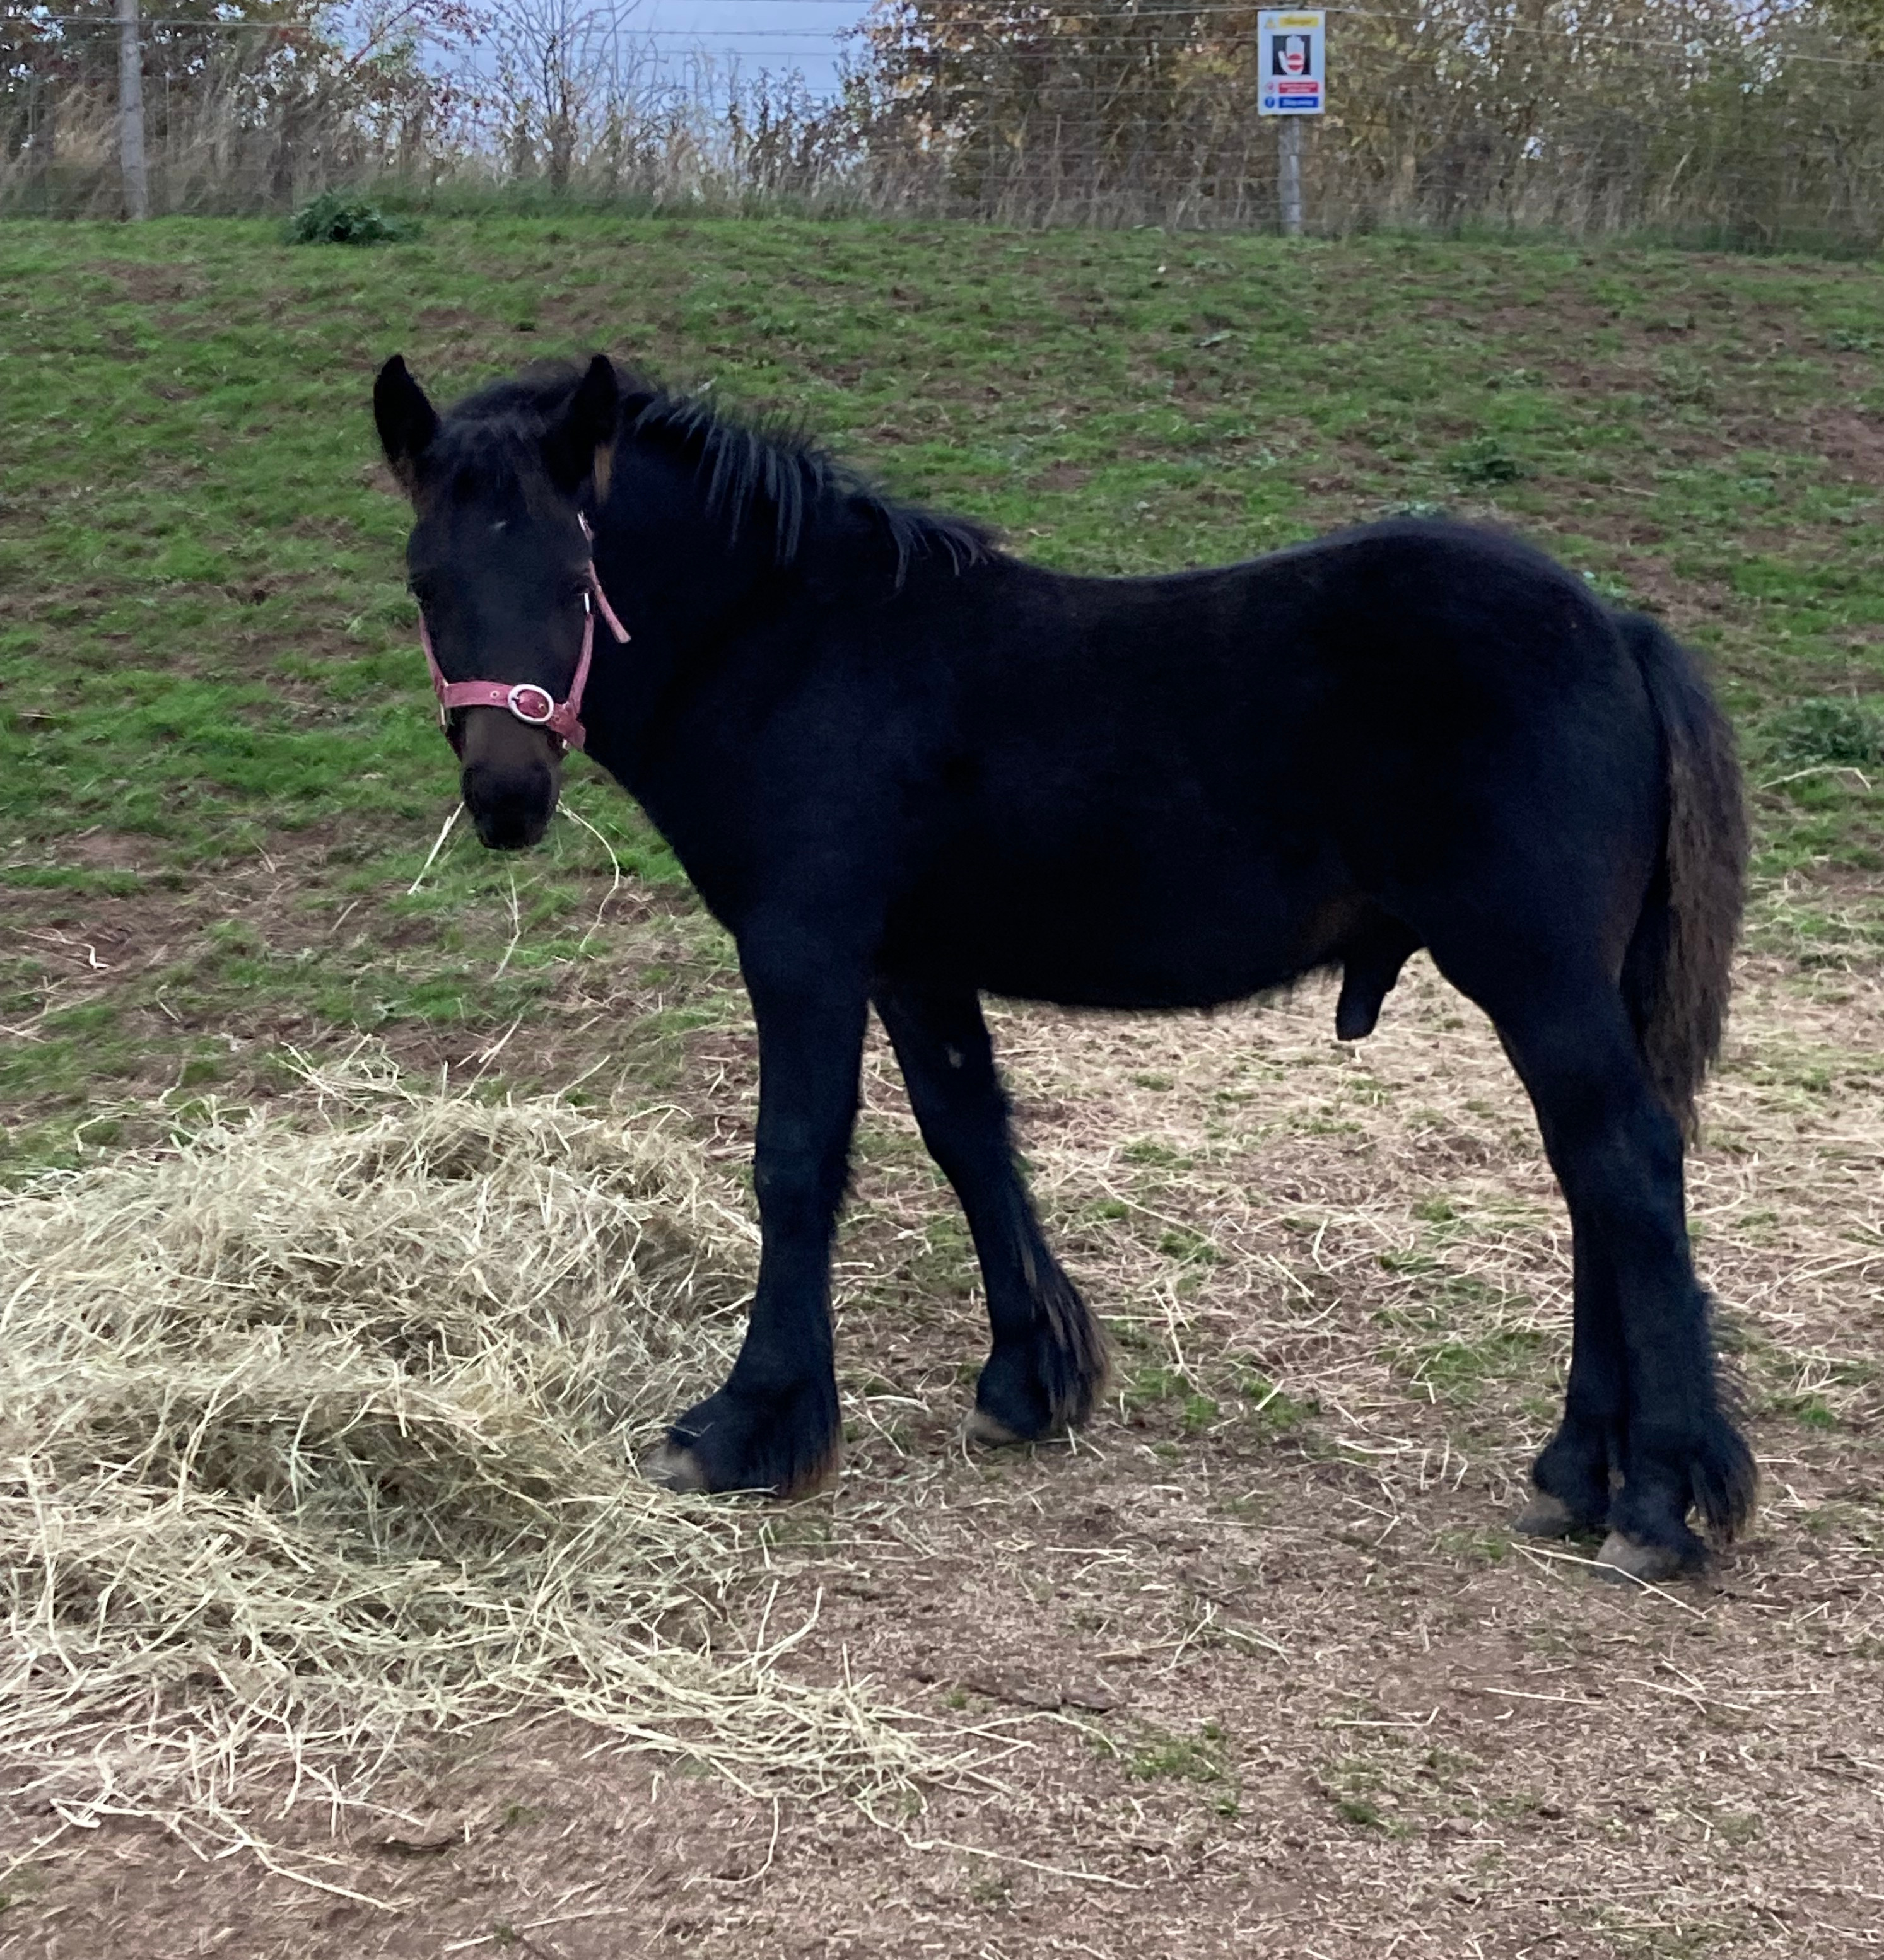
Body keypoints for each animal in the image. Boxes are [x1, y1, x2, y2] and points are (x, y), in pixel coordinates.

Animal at [372, 350, 1756, 1583]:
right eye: (427, 580)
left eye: (574, 573)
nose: (505, 797)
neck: (797, 648)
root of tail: (1614, 625)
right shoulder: (913, 966)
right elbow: (968, 1137)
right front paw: (1028, 1381)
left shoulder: (804, 949)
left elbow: (796, 1164)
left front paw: (747, 1424)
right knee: (1593, 1181)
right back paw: (1577, 1472)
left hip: (1534, 976)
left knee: (1623, 1168)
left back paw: (1654, 1498)